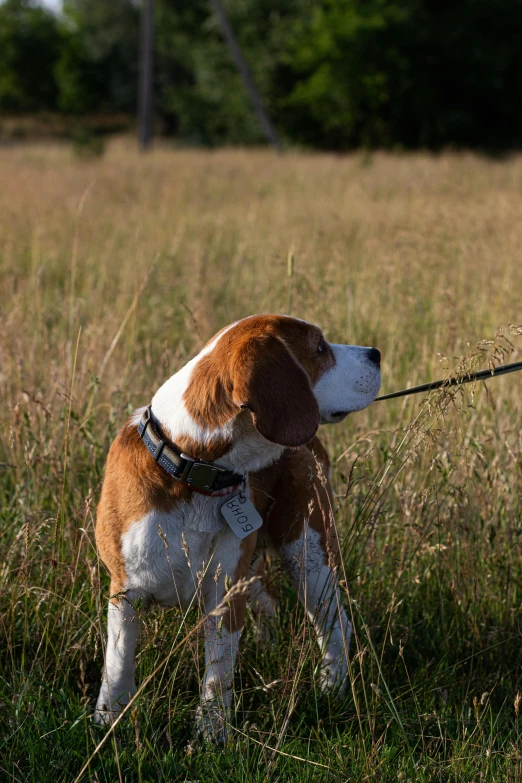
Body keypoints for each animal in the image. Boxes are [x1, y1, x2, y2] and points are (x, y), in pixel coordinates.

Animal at [93, 314, 378, 740]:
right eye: (319, 348)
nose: (376, 353)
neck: (192, 467)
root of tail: (309, 444)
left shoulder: (225, 592)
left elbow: (218, 670)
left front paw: (212, 732)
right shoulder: (125, 592)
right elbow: (118, 660)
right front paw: (108, 718)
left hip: (309, 553)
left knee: (335, 623)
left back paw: (332, 687)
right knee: (271, 600)